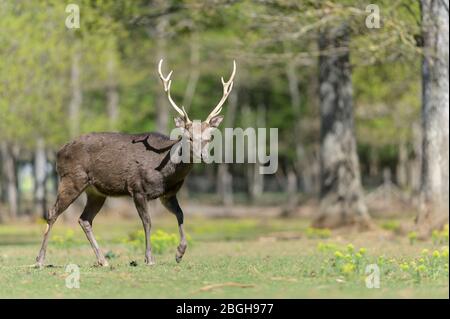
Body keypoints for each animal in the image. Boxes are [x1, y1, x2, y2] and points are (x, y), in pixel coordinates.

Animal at [36, 58, 236, 268]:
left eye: (209, 137)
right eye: (188, 137)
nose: (202, 155)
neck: (166, 173)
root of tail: (59, 152)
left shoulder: (167, 194)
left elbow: (181, 214)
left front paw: (179, 253)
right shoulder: (137, 188)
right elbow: (147, 222)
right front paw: (149, 258)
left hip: (96, 191)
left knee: (85, 219)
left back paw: (102, 260)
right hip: (72, 179)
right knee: (52, 212)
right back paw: (40, 260)